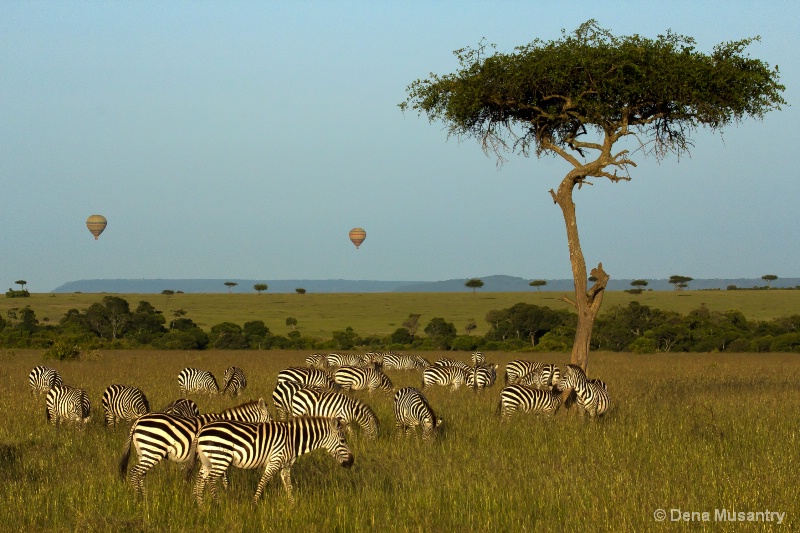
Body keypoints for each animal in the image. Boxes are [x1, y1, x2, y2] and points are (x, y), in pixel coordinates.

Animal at [117, 396, 270, 496]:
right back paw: (139, 498)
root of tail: (138, 421)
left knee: (140, 474)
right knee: (135, 472)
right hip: (153, 450)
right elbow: (223, 477)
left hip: (143, 452)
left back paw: (143, 498)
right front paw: (225, 492)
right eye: (270, 419)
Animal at [191, 416, 354, 502]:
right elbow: (263, 482)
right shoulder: (275, 460)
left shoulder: (285, 466)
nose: (351, 462)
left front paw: (292, 506)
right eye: (343, 441)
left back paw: (200, 506)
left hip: (208, 461)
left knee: (200, 480)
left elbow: (288, 486)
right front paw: (254, 504)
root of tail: (202, 429)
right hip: (220, 458)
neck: (293, 440)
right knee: (211, 480)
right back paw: (217, 504)